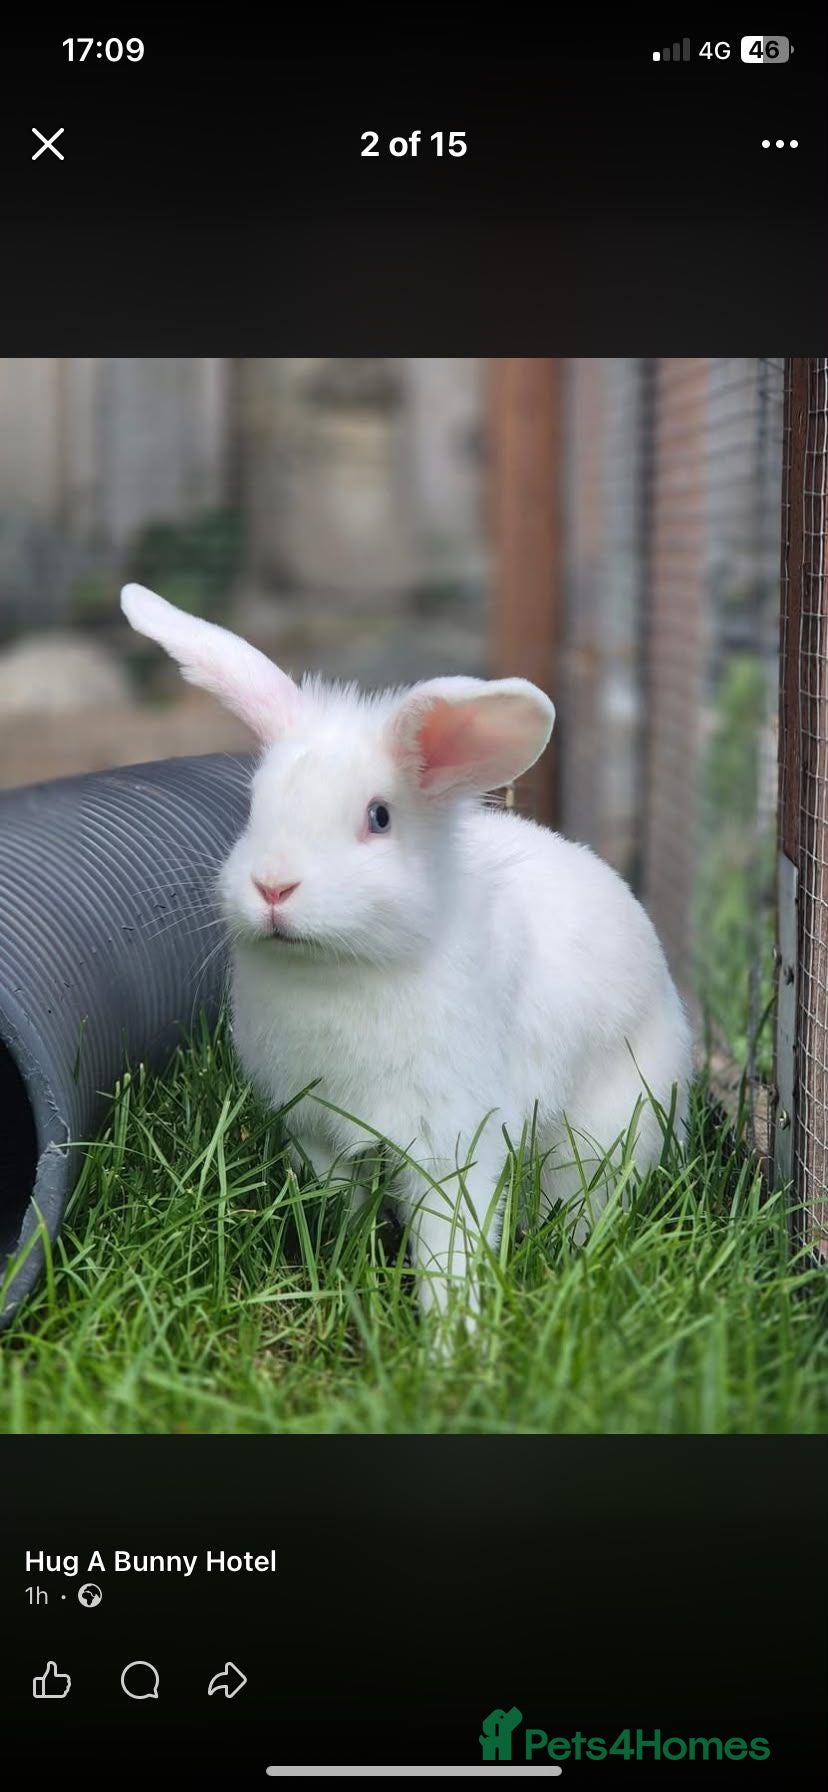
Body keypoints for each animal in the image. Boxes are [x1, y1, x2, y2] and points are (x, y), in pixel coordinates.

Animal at [121, 583, 694, 1326]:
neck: (337, 970)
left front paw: (455, 1339)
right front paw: (337, 1268)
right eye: (252, 809)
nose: (273, 886)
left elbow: (450, 1247)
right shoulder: (317, 1131)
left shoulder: (451, 1143)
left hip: (606, 1130)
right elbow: (339, 1203)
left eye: (379, 817)